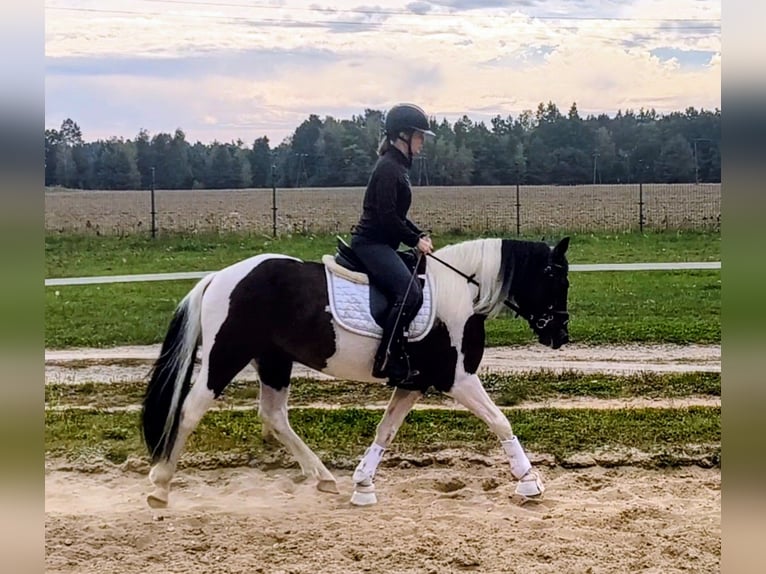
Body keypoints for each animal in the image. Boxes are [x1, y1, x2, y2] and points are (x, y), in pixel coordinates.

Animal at [141, 235, 570, 508]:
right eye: (555, 277)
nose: (561, 335)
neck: (463, 293)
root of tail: (220, 277)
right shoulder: (457, 379)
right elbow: (500, 421)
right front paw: (529, 482)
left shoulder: (414, 382)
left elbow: (386, 429)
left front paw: (363, 484)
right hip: (226, 355)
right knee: (190, 410)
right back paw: (160, 486)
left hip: (274, 360)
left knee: (274, 416)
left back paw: (323, 478)